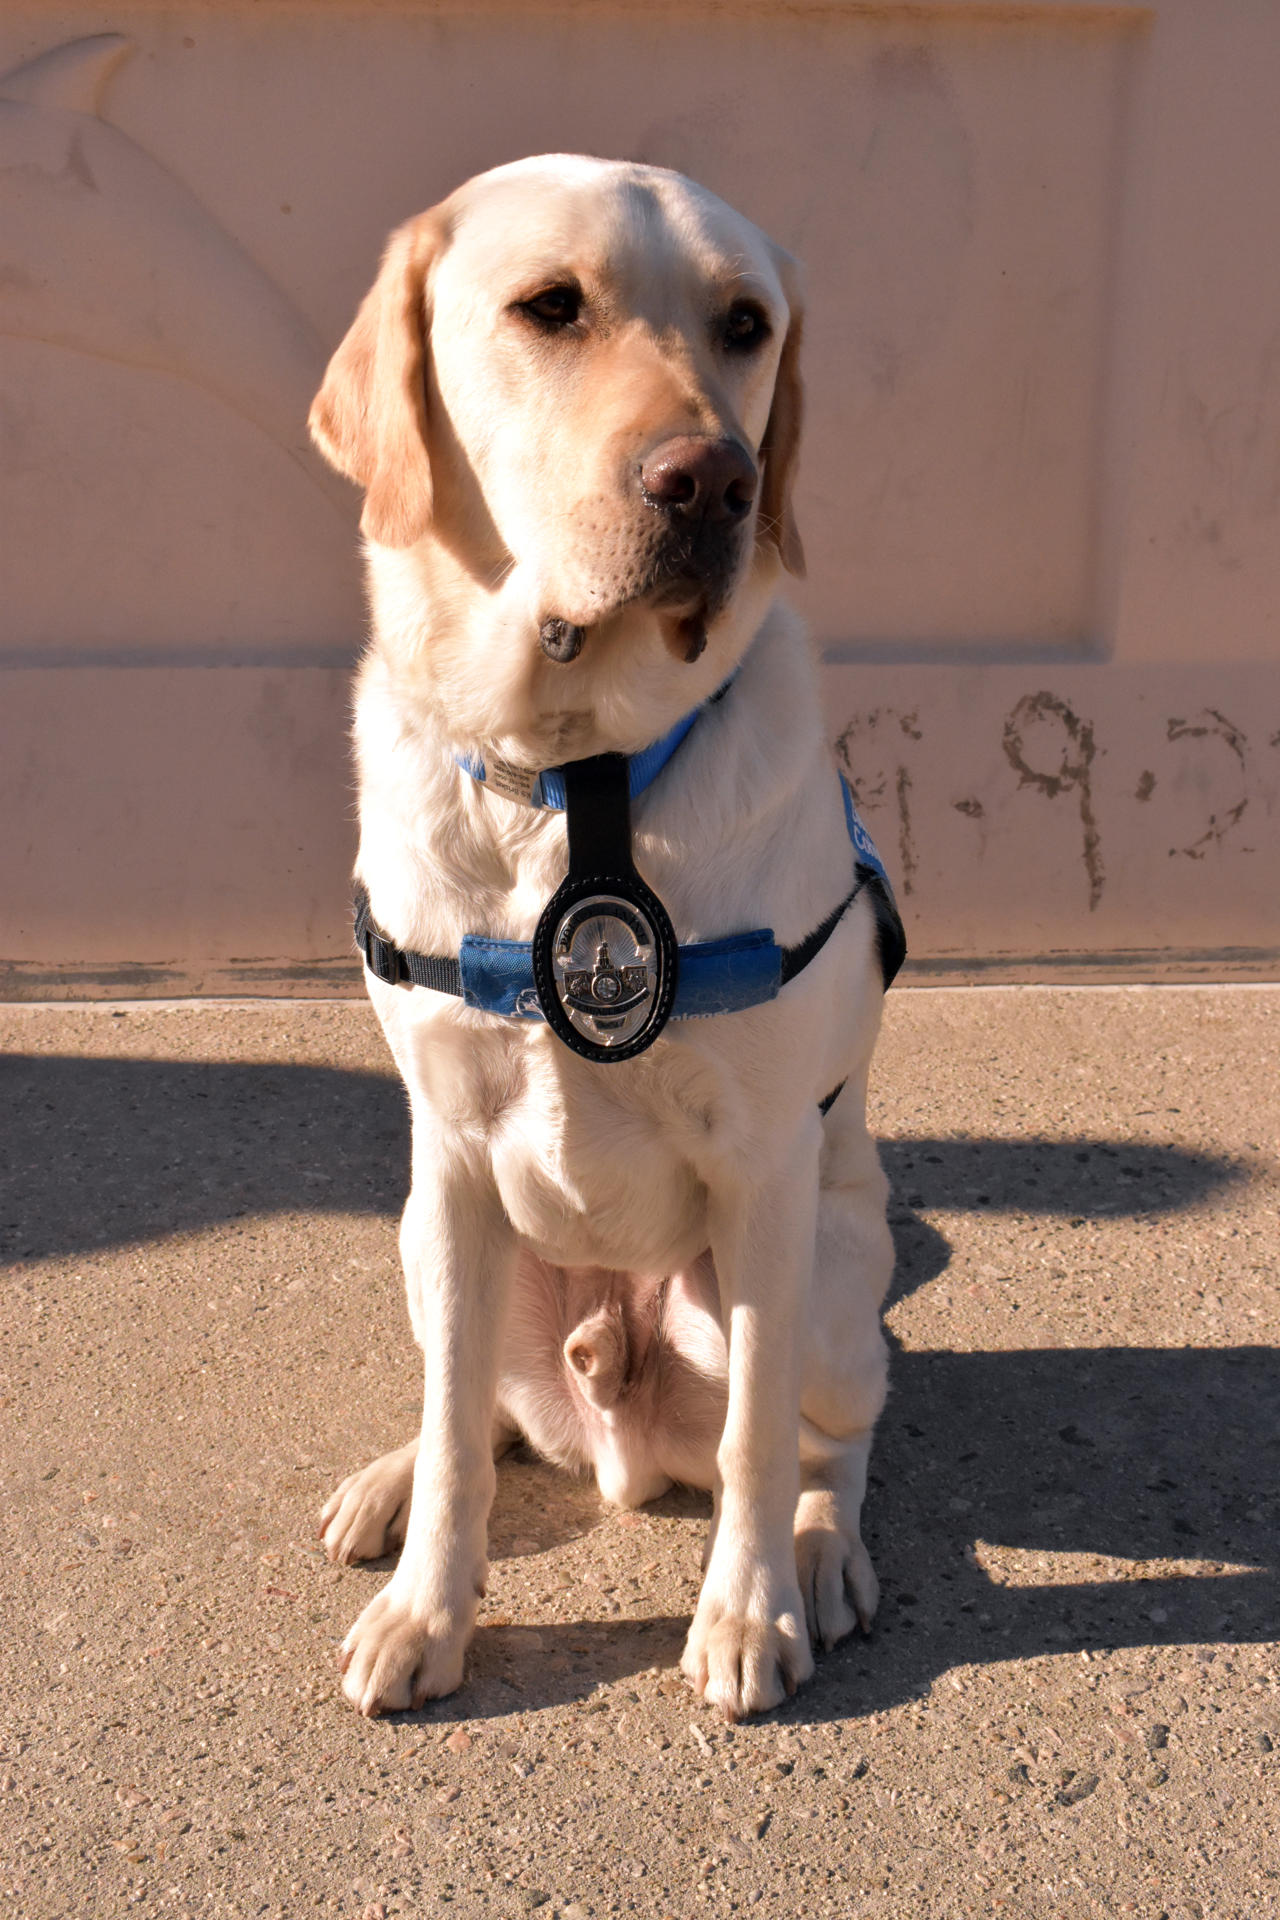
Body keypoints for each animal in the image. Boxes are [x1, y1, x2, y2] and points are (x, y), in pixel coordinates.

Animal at [307, 161, 901, 1728]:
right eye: (548, 307)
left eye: (747, 324)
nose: (715, 483)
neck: (577, 781)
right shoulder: (450, 1160)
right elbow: (461, 1431)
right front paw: (431, 1607)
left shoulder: (763, 1176)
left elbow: (755, 1441)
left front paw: (746, 1612)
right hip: (424, 1239)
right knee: (483, 1413)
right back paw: (388, 1488)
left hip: (832, 1276)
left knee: (832, 1440)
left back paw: (817, 1555)